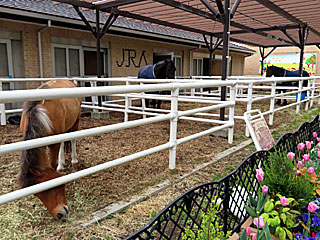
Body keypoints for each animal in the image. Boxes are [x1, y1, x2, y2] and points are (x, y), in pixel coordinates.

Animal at [18, 79, 82, 220]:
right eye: (37, 195)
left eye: (48, 188)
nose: (59, 215)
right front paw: (60, 166)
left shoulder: (53, 144)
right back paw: (61, 164)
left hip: (76, 121)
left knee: (73, 139)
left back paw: (74, 161)